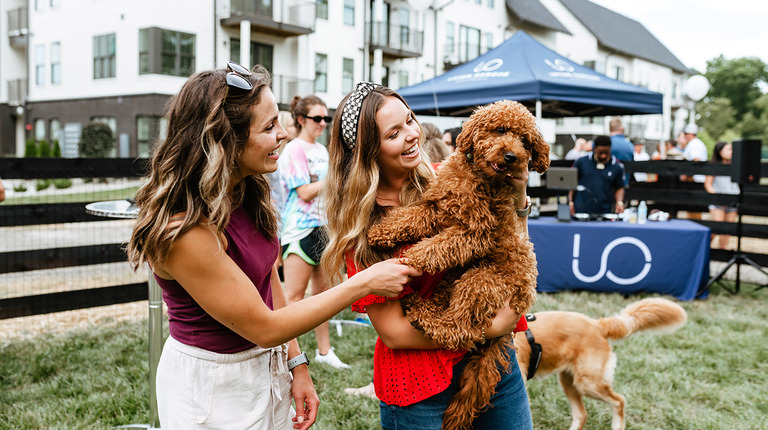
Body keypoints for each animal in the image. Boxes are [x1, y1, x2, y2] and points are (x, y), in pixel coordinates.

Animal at [368, 99, 548, 428]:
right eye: (500, 130)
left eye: (525, 141)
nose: (512, 156)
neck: (477, 177)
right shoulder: (435, 207)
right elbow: (409, 217)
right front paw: (380, 232)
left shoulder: (474, 233)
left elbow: (436, 246)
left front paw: (411, 259)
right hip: (453, 281)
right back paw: (422, 307)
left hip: (481, 281)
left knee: (461, 331)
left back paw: (425, 317)